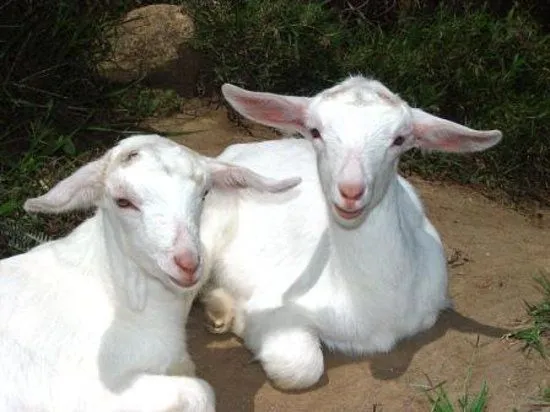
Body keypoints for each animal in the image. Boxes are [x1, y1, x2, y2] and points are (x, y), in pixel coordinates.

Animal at [203, 76, 504, 390]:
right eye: (315, 131)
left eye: (399, 139)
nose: (351, 190)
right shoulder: (275, 305)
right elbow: (300, 367)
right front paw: (235, 316)